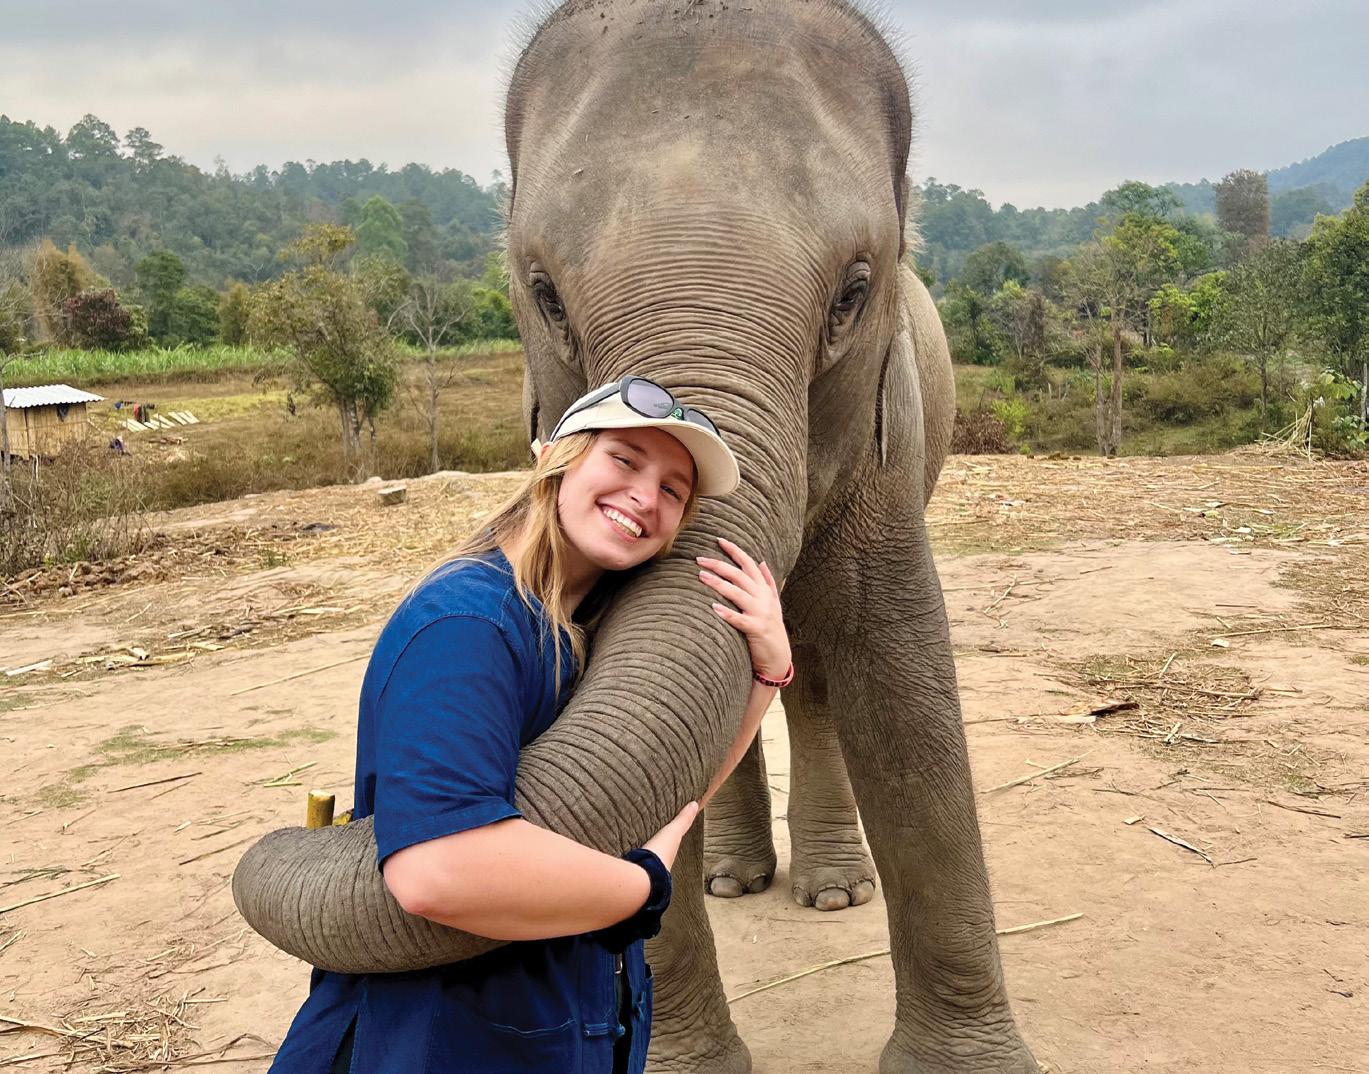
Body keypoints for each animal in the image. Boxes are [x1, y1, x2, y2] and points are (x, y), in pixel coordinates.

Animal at [232, 1, 1039, 1071]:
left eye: (853, 291)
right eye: (545, 294)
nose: (320, 813)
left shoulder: (888, 444)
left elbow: (901, 689)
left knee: (812, 676)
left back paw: (832, 891)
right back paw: (736, 878)